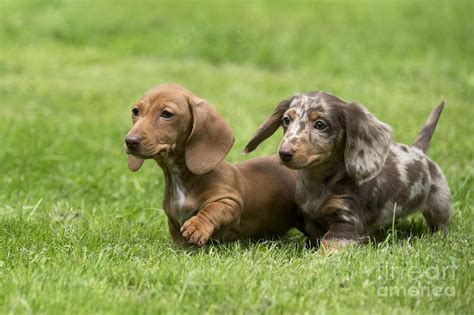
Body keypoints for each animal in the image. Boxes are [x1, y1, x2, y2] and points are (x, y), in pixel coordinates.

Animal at [124, 84, 302, 247]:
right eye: (135, 111)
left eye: (167, 114)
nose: (130, 141)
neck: (182, 178)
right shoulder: (172, 219)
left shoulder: (230, 201)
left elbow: (211, 209)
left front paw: (197, 227)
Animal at [246, 92, 450, 251]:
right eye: (286, 120)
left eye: (320, 125)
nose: (284, 153)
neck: (319, 182)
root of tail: (419, 151)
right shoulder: (311, 220)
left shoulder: (345, 221)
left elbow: (328, 246)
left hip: (439, 204)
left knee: (441, 224)